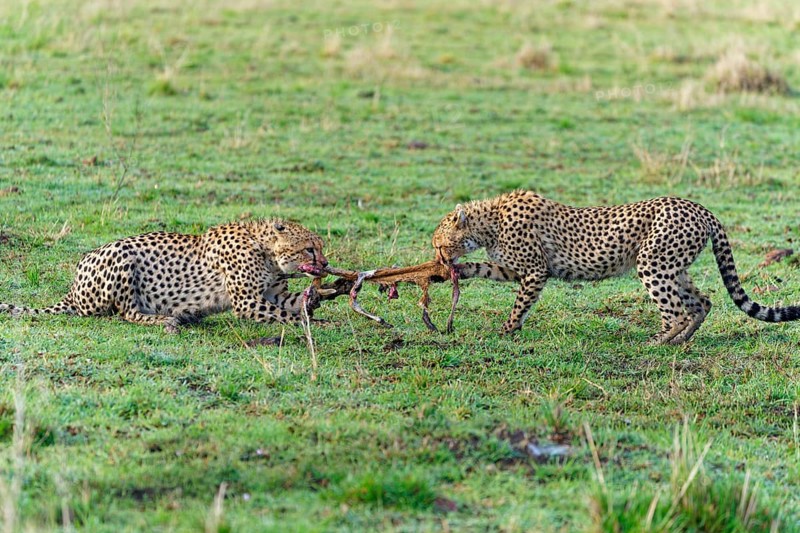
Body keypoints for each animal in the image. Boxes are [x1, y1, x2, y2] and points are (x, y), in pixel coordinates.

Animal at [0, 219, 340, 333]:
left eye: (320, 248)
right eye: (310, 249)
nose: (325, 263)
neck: (265, 249)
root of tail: (72, 289)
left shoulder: (273, 293)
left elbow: (296, 303)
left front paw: (330, 291)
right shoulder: (247, 303)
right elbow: (290, 317)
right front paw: (319, 323)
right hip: (122, 256)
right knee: (126, 313)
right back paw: (168, 320)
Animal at [432, 190, 800, 345]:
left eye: (438, 245)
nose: (438, 260)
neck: (490, 221)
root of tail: (699, 207)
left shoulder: (536, 271)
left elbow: (519, 305)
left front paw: (507, 330)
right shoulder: (520, 269)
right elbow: (486, 268)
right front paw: (461, 272)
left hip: (653, 264)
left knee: (676, 310)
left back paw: (658, 341)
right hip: (674, 267)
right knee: (702, 302)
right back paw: (682, 340)